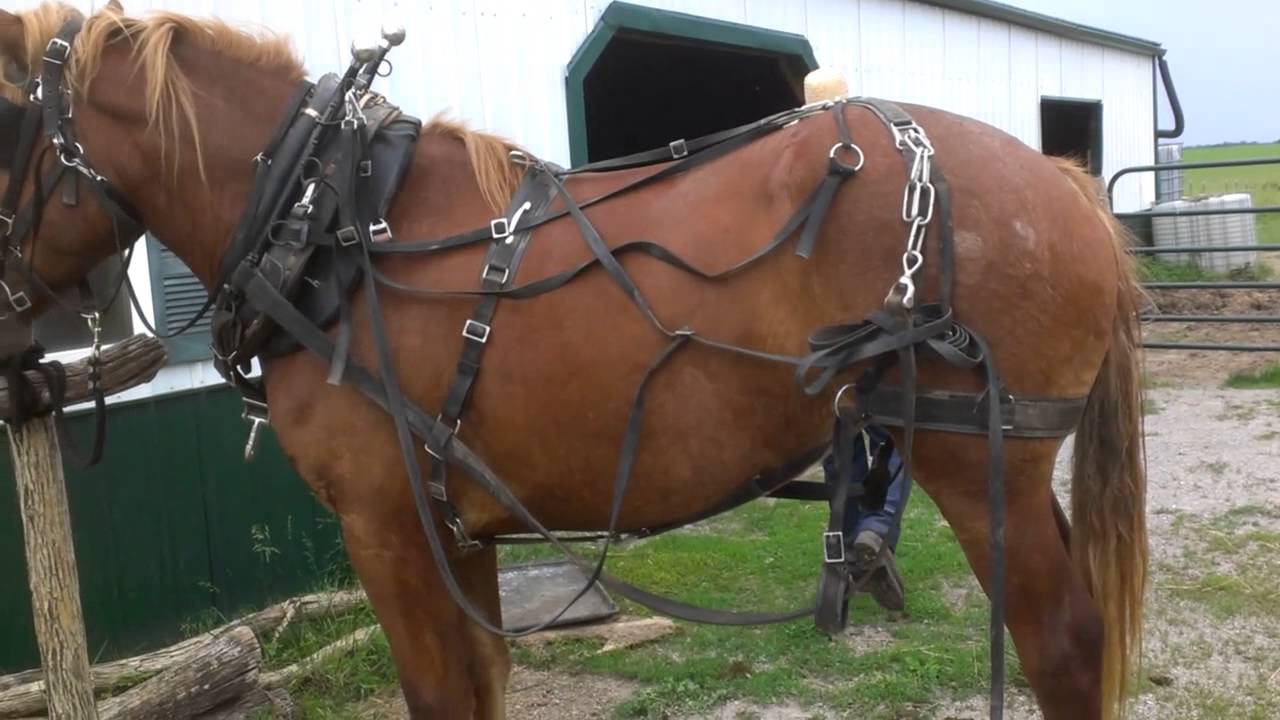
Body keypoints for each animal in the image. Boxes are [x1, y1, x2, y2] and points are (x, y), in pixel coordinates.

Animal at [0, 3, 1148, 719]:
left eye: (7, 121)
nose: (19, 357)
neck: (327, 225)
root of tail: (1061, 181)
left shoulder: (382, 527)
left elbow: (434, 694)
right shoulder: (450, 524)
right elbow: (480, 687)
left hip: (977, 459)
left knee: (1061, 646)